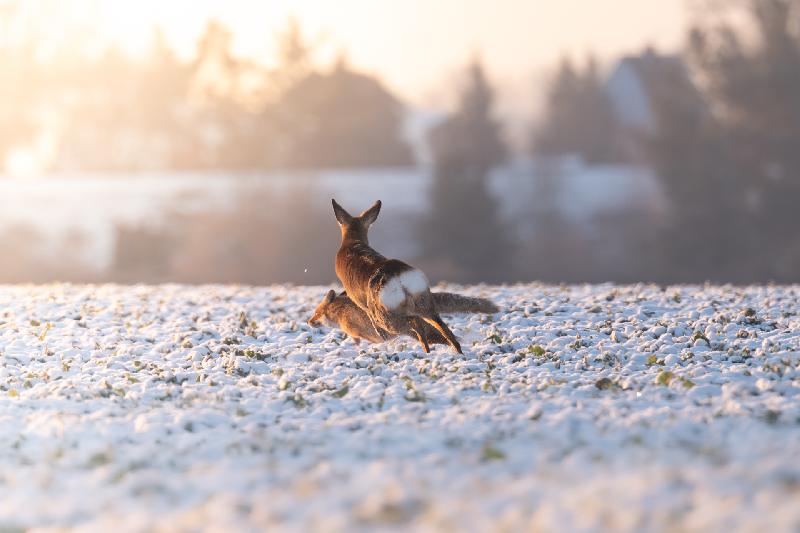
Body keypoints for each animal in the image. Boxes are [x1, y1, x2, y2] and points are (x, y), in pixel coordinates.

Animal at [307, 289, 498, 346]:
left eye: (316, 314)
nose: (308, 322)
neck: (340, 312)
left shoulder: (357, 332)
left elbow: (357, 341)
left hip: (418, 332)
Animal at [331, 199, 464, 354]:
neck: (352, 242)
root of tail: (400, 278)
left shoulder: (361, 302)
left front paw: (380, 335)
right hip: (424, 300)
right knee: (440, 325)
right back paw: (455, 351)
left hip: (384, 311)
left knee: (413, 322)